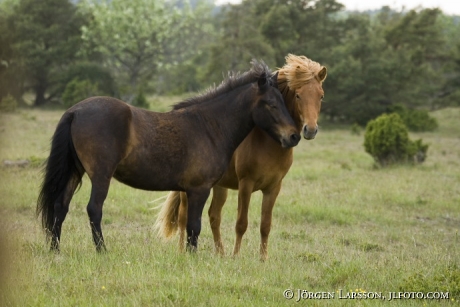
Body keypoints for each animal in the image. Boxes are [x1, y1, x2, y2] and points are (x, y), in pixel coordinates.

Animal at [37, 60, 300, 253]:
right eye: (270, 103)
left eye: (283, 101)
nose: (294, 136)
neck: (209, 127)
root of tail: (75, 111)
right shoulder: (199, 189)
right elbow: (194, 226)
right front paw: (192, 258)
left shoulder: (189, 190)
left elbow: (189, 225)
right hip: (101, 175)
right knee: (94, 209)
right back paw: (102, 251)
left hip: (75, 171)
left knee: (60, 207)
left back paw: (55, 251)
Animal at [155, 54, 328, 260]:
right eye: (298, 95)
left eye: (321, 95)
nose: (310, 130)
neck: (268, 141)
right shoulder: (246, 184)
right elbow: (241, 223)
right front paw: (236, 256)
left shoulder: (273, 188)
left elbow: (265, 225)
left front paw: (263, 260)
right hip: (189, 189)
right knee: (183, 217)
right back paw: (183, 251)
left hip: (219, 186)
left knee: (214, 215)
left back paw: (220, 253)